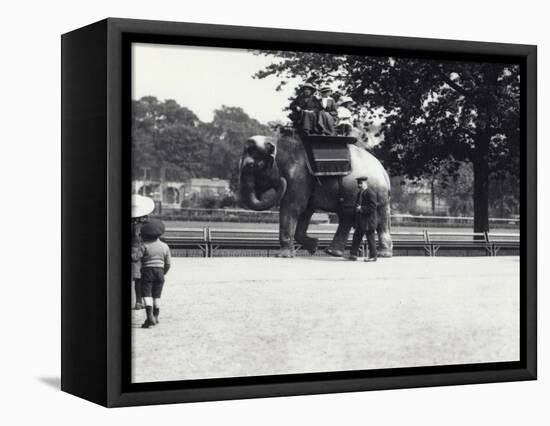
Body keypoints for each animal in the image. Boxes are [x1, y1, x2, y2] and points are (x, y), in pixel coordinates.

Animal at [239, 135, 394, 258]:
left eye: (250, 166)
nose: (282, 181)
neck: (276, 141)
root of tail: (383, 171)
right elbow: (306, 211)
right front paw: (314, 246)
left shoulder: (298, 177)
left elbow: (293, 207)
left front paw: (282, 255)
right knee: (352, 217)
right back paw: (334, 252)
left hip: (367, 190)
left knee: (367, 218)